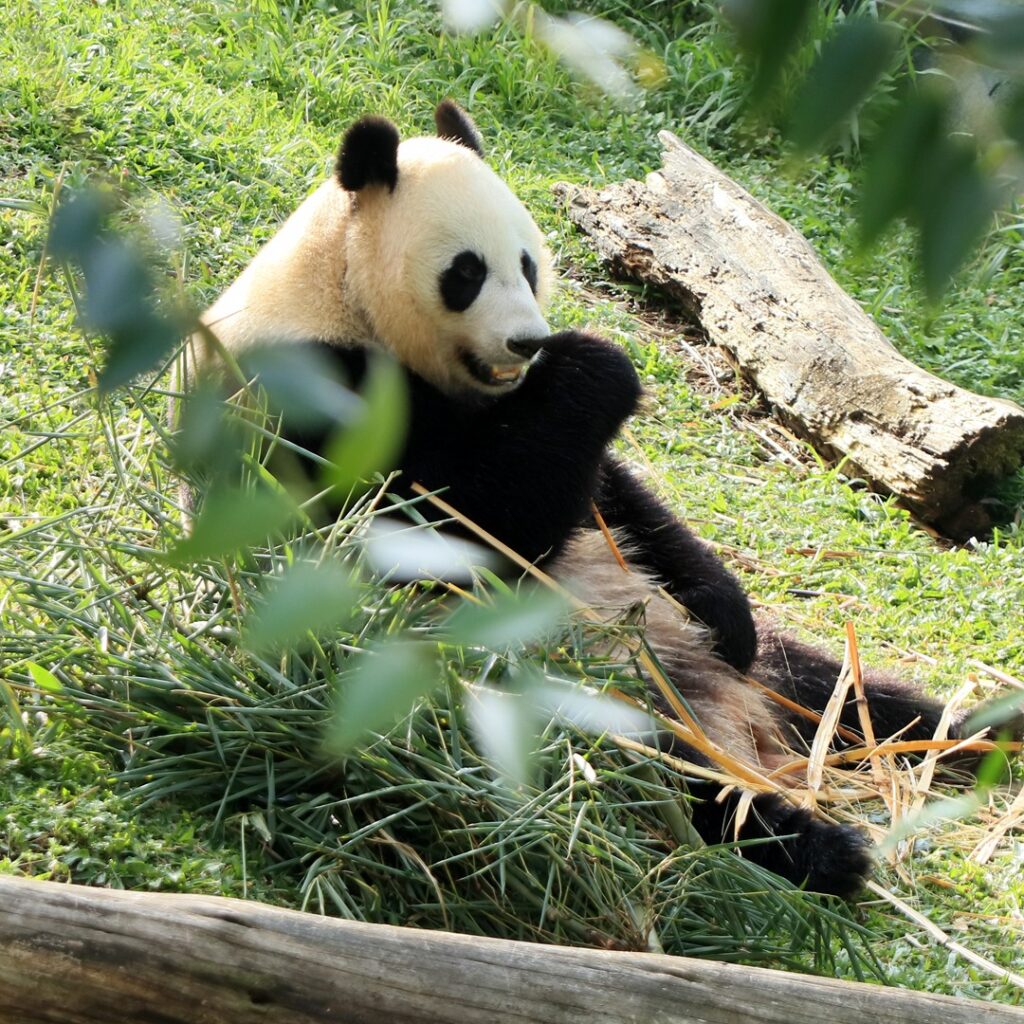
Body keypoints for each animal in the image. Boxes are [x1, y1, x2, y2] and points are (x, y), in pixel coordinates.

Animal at [193, 96, 974, 897]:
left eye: (528, 263)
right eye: (466, 272)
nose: (527, 343)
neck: (337, 287)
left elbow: (620, 500)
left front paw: (725, 610)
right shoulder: (312, 395)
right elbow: (448, 529)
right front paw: (596, 362)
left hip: (757, 672)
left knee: (846, 690)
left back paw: (971, 732)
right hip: (548, 684)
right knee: (659, 767)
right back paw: (813, 843)